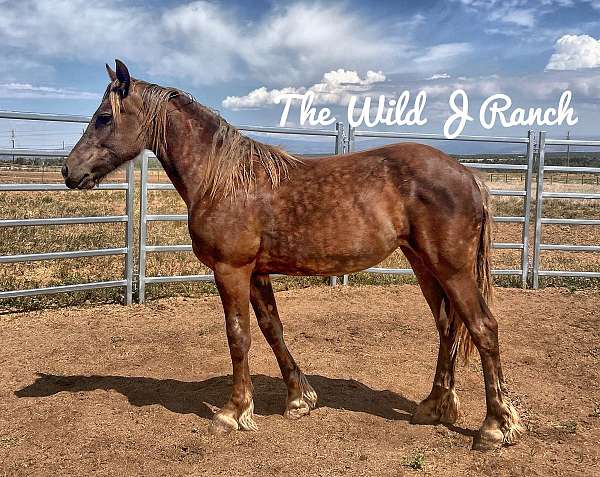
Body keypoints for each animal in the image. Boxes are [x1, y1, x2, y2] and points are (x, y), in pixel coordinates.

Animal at [61, 57, 520, 448]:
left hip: (452, 268)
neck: (223, 179)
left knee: (483, 328)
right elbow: (272, 329)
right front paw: (300, 398)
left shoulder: (231, 270)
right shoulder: (256, 272)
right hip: (424, 265)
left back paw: (495, 427)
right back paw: (434, 408)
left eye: (104, 117)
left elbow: (238, 336)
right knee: (447, 327)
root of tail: (468, 174)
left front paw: (233, 412)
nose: (69, 170)